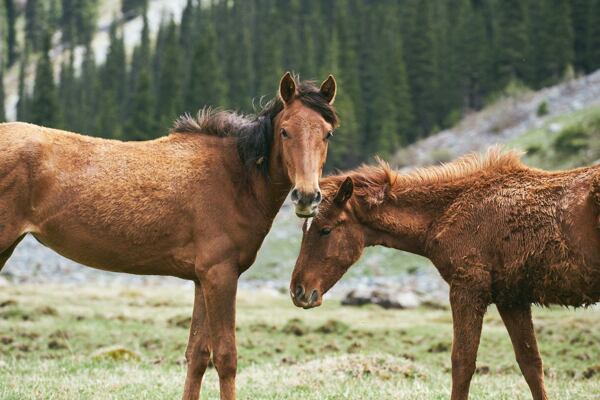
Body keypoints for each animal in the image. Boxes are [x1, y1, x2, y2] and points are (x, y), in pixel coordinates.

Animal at [0, 72, 338, 400]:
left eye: (327, 133)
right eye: (285, 131)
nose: (307, 197)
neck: (235, 179)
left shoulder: (203, 279)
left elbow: (198, 355)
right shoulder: (220, 275)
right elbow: (226, 357)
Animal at [290, 149, 600, 400]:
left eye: (325, 230)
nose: (298, 290)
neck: (449, 211)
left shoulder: (466, 289)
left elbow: (462, 363)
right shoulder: (512, 299)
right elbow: (531, 364)